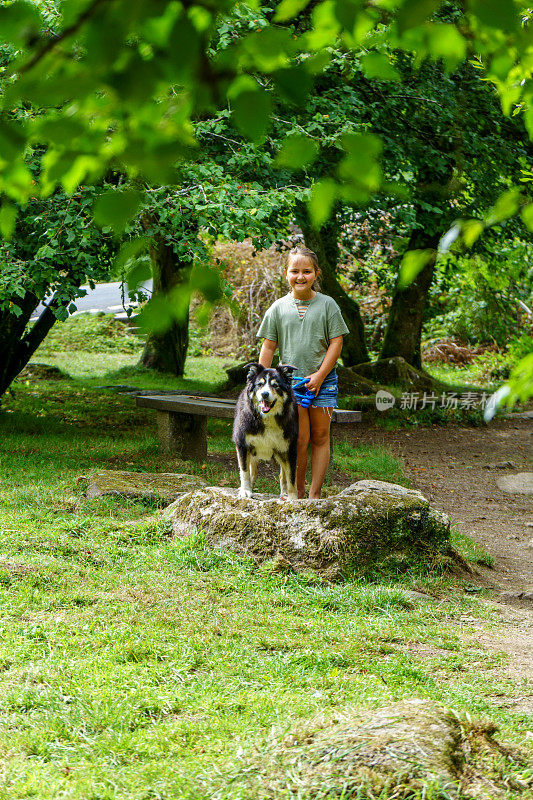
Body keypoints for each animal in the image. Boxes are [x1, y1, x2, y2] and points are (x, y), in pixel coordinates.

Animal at [233, 364, 300, 500]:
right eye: (260, 384)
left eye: (276, 385)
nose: (264, 394)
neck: (267, 417)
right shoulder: (242, 444)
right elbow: (244, 471)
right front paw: (245, 490)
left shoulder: (289, 448)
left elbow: (291, 476)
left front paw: (293, 498)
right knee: (252, 471)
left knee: (283, 474)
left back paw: (284, 493)